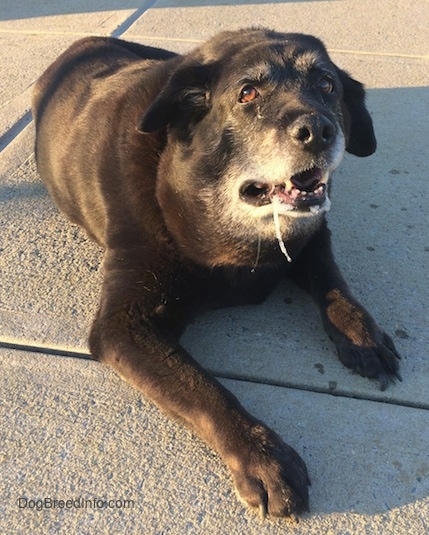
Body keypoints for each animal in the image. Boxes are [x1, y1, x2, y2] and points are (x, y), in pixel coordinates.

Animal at [31, 29, 400, 520]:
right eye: (247, 93)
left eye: (327, 85)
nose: (319, 130)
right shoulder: (123, 325)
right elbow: (204, 389)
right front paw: (264, 457)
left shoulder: (313, 235)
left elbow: (333, 282)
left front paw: (361, 331)